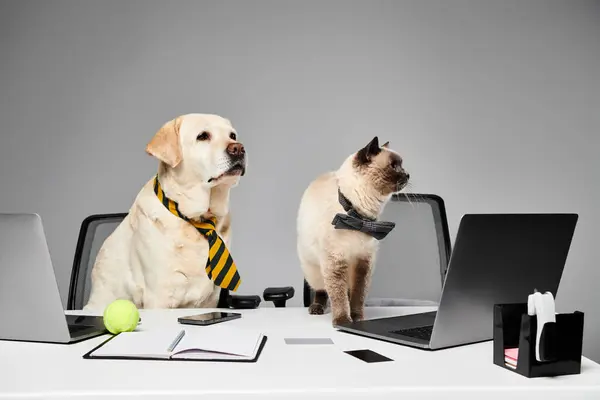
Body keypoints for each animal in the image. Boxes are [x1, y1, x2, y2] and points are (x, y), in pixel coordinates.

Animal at [82, 113, 246, 312]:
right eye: (203, 136)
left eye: (232, 136)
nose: (238, 148)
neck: (197, 219)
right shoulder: (159, 295)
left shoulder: (210, 300)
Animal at [298, 137, 410, 324]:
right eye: (394, 166)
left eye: (402, 166)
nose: (408, 174)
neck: (359, 217)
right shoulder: (335, 261)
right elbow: (338, 295)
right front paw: (343, 321)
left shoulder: (362, 262)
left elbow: (357, 295)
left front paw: (358, 319)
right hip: (314, 269)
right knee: (321, 289)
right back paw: (317, 308)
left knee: (349, 290)